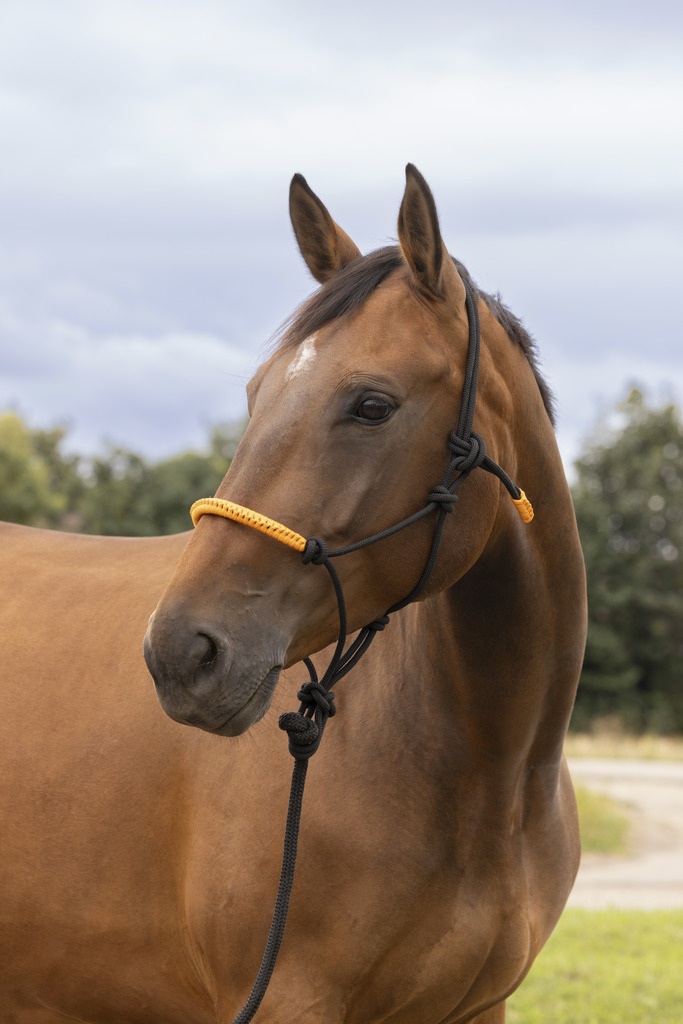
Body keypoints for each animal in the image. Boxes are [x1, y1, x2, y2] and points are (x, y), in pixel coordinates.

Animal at [1, 163, 589, 1019]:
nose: (181, 654)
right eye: (256, 393)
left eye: (372, 404)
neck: (490, 778)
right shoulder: (287, 999)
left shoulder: (479, 1008)